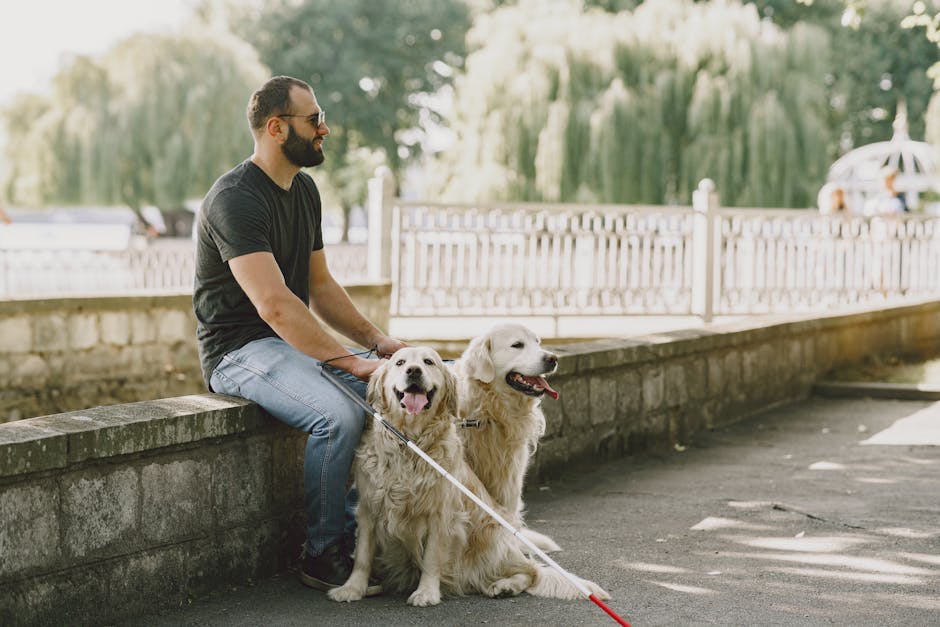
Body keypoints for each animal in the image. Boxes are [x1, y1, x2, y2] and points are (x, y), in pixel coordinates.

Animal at [330, 348, 608, 608]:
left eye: (429, 362)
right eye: (399, 362)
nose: (413, 371)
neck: (410, 441)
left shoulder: (441, 514)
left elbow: (432, 558)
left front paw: (426, 592)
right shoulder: (369, 509)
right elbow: (362, 555)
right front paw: (352, 588)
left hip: (490, 541)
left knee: (532, 571)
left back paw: (505, 586)